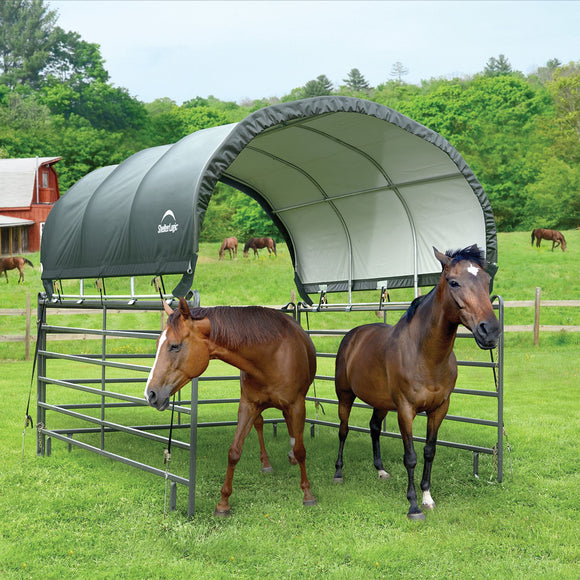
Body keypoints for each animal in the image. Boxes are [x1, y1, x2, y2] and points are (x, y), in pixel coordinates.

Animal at [145, 296, 318, 516]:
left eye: (175, 346)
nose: (150, 394)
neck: (270, 357)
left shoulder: (297, 405)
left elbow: (301, 450)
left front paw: (308, 494)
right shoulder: (247, 406)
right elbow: (234, 452)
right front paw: (223, 503)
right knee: (261, 425)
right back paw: (267, 463)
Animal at [334, 246, 500, 520]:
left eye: (487, 281)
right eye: (453, 282)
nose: (491, 331)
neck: (425, 355)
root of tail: (353, 335)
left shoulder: (439, 409)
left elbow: (429, 452)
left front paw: (427, 497)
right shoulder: (405, 410)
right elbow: (410, 456)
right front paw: (413, 505)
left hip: (381, 403)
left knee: (374, 428)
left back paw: (380, 471)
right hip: (345, 397)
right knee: (343, 430)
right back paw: (338, 472)